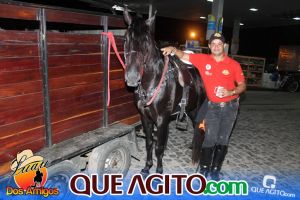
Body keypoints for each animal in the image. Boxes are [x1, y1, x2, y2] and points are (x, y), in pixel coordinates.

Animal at [123, 9, 206, 175]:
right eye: (126, 38)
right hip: (192, 110)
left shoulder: (162, 119)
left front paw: (159, 170)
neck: (152, 82)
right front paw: (147, 166)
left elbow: (159, 146)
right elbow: (149, 143)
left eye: (147, 41)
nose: (132, 77)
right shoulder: (145, 118)